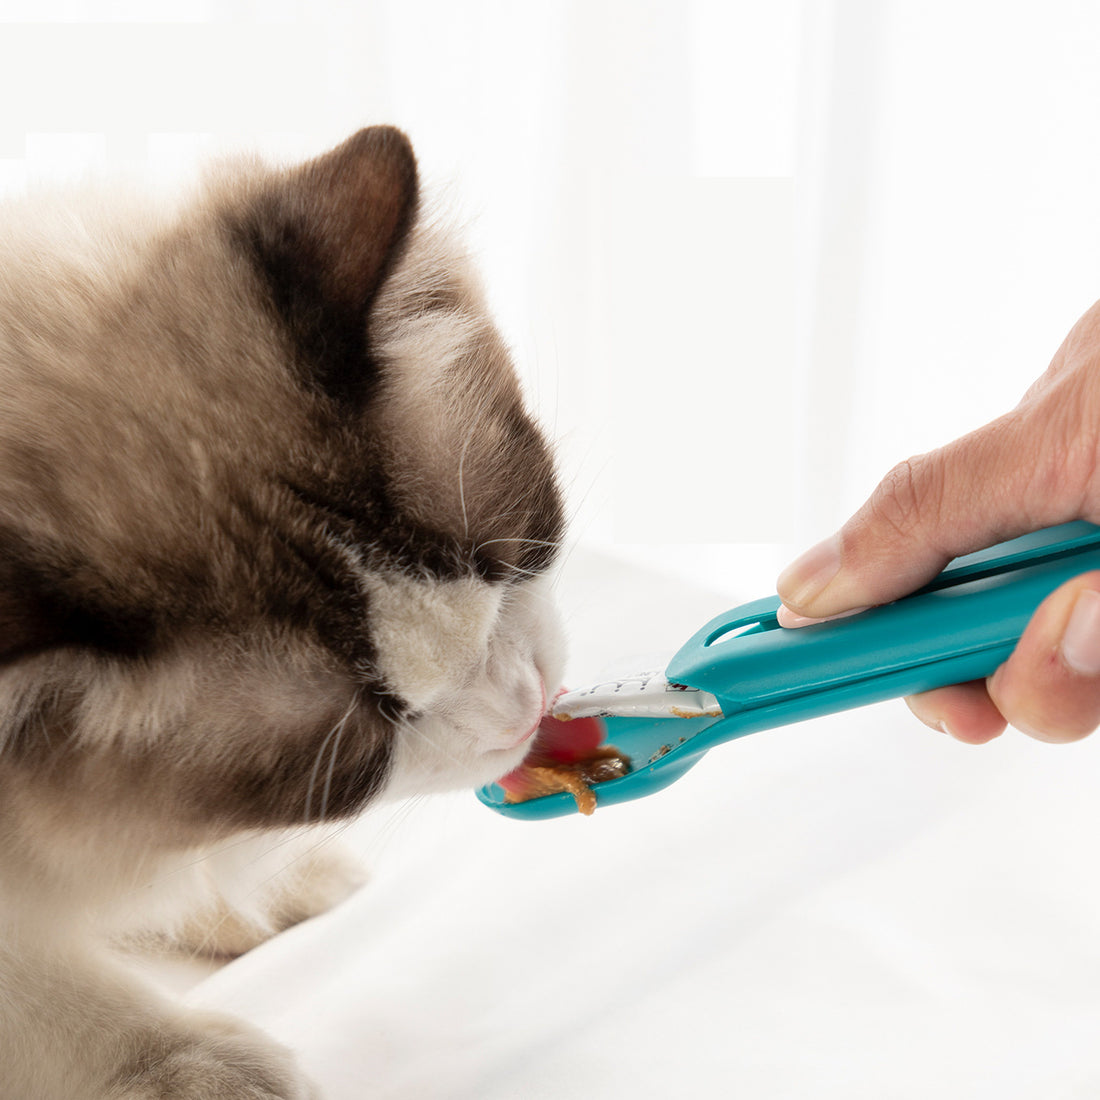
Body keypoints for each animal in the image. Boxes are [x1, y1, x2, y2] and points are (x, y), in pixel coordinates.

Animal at [0, 124, 567, 1095]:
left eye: (508, 561)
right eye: (378, 729)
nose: (525, 709)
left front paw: (261, 891)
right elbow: (41, 992)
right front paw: (189, 1064)